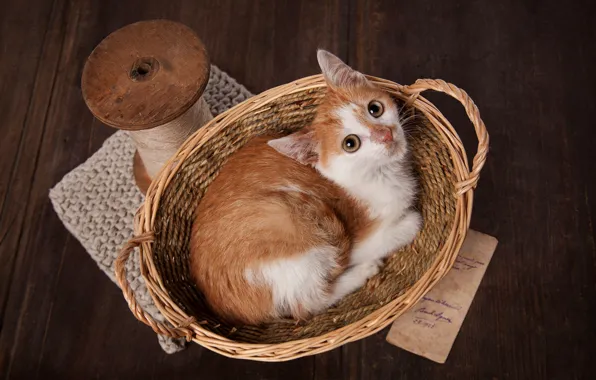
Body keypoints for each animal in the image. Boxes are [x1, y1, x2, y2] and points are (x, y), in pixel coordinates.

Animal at [190, 49, 420, 326]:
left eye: (375, 108)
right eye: (350, 144)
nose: (385, 134)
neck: (381, 174)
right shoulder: (358, 242)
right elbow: (405, 226)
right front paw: (409, 222)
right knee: (308, 303)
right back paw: (363, 272)